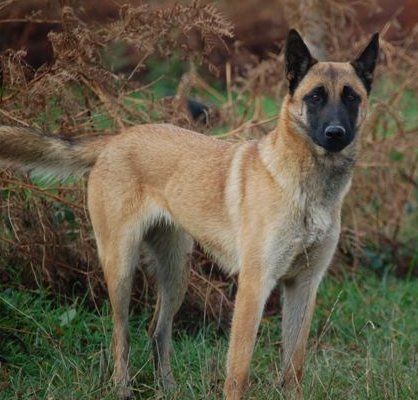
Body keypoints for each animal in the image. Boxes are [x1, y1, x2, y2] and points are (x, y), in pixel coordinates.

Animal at [0, 31, 378, 400]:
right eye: (315, 97)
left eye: (351, 97)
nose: (335, 134)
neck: (306, 188)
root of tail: (115, 139)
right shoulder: (255, 286)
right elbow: (238, 372)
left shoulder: (303, 286)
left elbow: (293, 368)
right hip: (120, 270)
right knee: (121, 336)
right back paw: (122, 389)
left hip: (175, 273)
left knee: (157, 331)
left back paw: (166, 388)